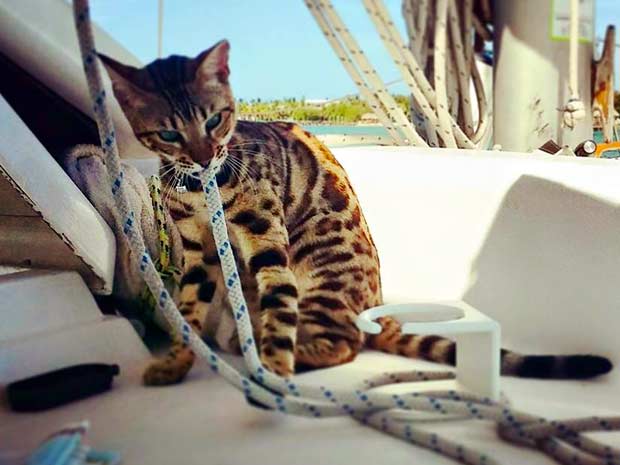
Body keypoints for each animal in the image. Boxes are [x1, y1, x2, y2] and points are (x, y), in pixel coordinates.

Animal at [97, 40, 612, 382]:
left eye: (215, 119)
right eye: (168, 134)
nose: (204, 158)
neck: (203, 188)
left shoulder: (265, 236)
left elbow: (278, 302)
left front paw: (277, 366)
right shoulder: (199, 252)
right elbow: (187, 310)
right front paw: (176, 363)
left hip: (320, 278)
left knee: (344, 343)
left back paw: (281, 356)